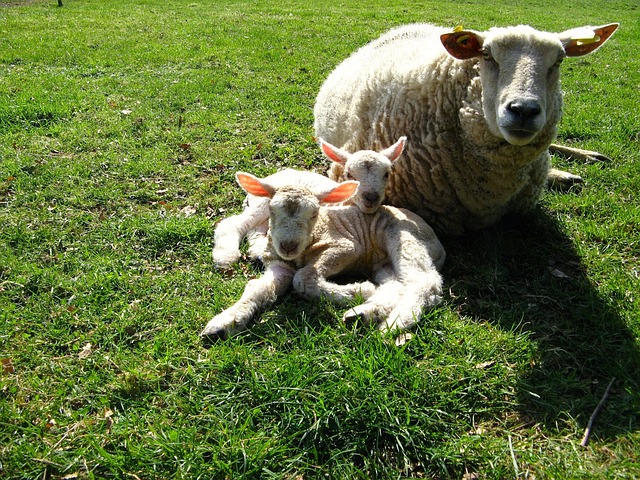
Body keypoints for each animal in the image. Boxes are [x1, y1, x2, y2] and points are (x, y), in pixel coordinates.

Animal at [201, 171, 444, 340]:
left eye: (314, 214)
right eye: (272, 211)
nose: (287, 245)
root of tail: (438, 244)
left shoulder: (346, 246)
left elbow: (303, 279)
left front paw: (358, 290)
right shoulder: (280, 265)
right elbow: (257, 289)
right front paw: (225, 323)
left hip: (407, 241)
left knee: (424, 283)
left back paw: (394, 322)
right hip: (383, 262)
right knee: (396, 285)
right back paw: (363, 313)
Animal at [212, 137, 408, 268]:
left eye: (386, 174)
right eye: (349, 174)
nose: (371, 197)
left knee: (256, 229)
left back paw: (257, 250)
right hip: (261, 203)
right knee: (233, 223)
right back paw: (225, 255)